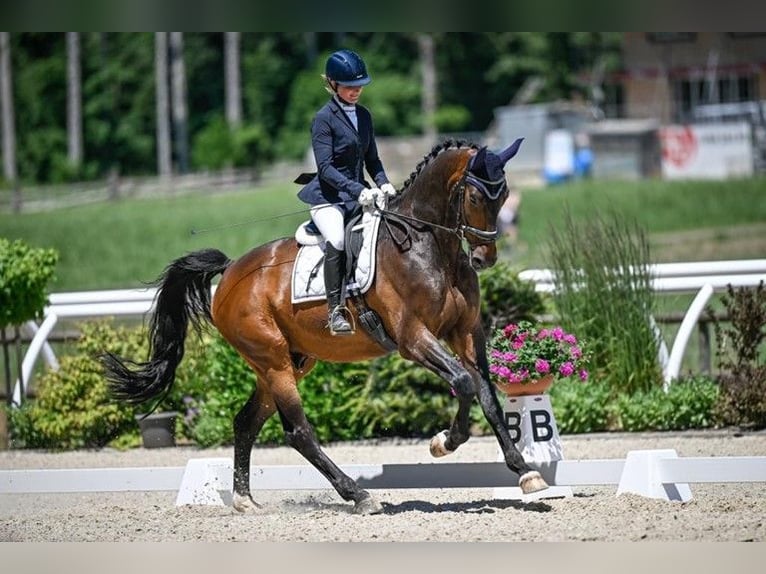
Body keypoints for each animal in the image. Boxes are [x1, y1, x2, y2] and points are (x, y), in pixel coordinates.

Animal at [102, 137, 548, 516]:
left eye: (504, 195)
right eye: (474, 196)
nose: (484, 259)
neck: (430, 246)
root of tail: (230, 273)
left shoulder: (466, 333)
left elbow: (487, 396)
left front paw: (526, 472)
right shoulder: (413, 338)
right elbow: (464, 383)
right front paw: (443, 443)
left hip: (289, 362)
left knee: (245, 423)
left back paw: (246, 501)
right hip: (275, 361)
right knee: (298, 431)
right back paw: (358, 494)